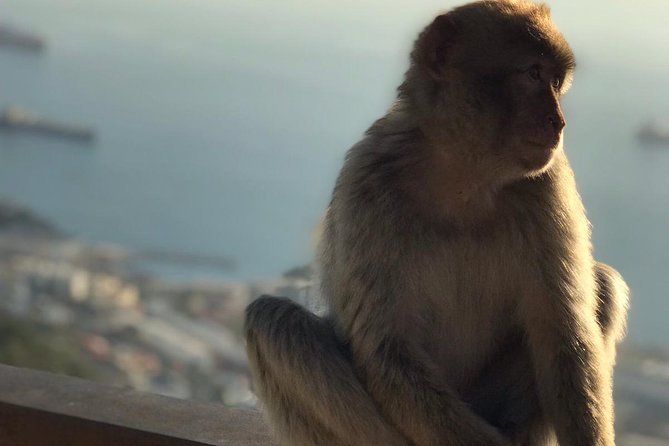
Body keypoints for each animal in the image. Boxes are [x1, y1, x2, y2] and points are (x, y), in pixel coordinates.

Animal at [245, 1, 629, 445]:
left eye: (555, 80)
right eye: (532, 74)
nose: (558, 122)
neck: (462, 175)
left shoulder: (550, 185)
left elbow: (562, 333)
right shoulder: (369, 181)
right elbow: (387, 349)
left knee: (600, 286)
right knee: (276, 323)